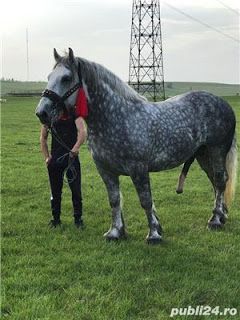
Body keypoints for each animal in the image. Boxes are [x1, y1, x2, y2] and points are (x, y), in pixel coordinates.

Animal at [36, 48, 237, 242]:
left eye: (66, 78)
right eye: (49, 77)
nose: (41, 113)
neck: (117, 117)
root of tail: (222, 103)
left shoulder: (138, 168)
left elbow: (145, 200)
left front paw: (154, 234)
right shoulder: (105, 170)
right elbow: (114, 200)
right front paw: (115, 232)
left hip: (217, 150)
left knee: (220, 180)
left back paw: (215, 220)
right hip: (203, 154)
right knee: (216, 182)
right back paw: (221, 216)